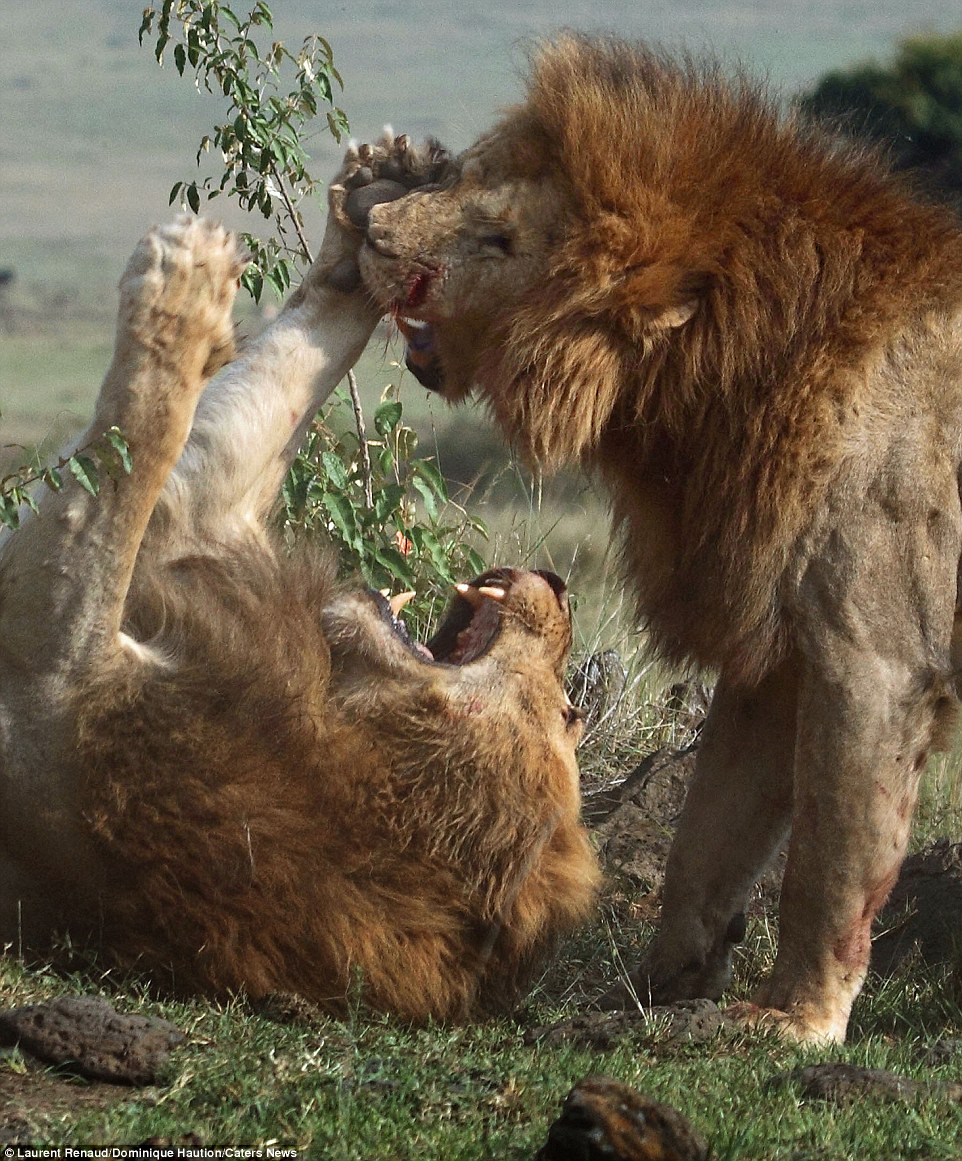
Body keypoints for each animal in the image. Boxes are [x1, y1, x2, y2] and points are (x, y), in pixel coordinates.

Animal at [0, 138, 598, 1026]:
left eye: (565, 715)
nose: (559, 584)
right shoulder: (195, 531)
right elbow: (272, 385)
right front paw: (374, 203)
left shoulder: (51, 668)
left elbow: (133, 453)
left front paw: (186, 289)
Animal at [355, 31, 962, 1044]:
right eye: (469, 170)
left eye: (502, 239)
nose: (371, 226)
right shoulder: (776, 655)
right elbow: (707, 841)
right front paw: (657, 990)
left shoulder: (873, 659)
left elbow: (830, 864)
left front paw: (792, 1020)